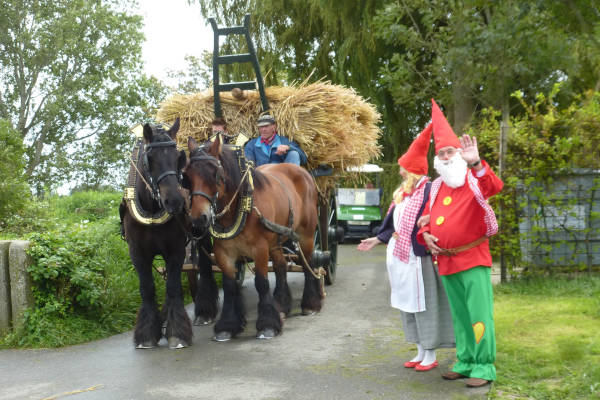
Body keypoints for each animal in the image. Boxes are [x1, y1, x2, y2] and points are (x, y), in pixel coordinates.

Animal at [119, 118, 216, 346]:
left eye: (178, 158)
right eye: (150, 159)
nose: (175, 201)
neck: (152, 210)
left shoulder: (176, 250)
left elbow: (172, 287)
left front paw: (177, 332)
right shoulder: (137, 253)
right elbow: (147, 288)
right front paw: (148, 333)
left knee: (205, 266)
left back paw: (204, 311)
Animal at [185, 135, 324, 340]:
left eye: (215, 174)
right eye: (187, 177)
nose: (198, 218)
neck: (241, 205)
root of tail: (302, 172)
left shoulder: (260, 248)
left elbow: (261, 282)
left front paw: (267, 325)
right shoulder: (224, 252)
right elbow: (229, 285)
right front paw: (227, 326)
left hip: (305, 235)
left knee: (308, 265)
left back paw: (310, 304)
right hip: (276, 241)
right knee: (281, 266)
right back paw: (281, 306)